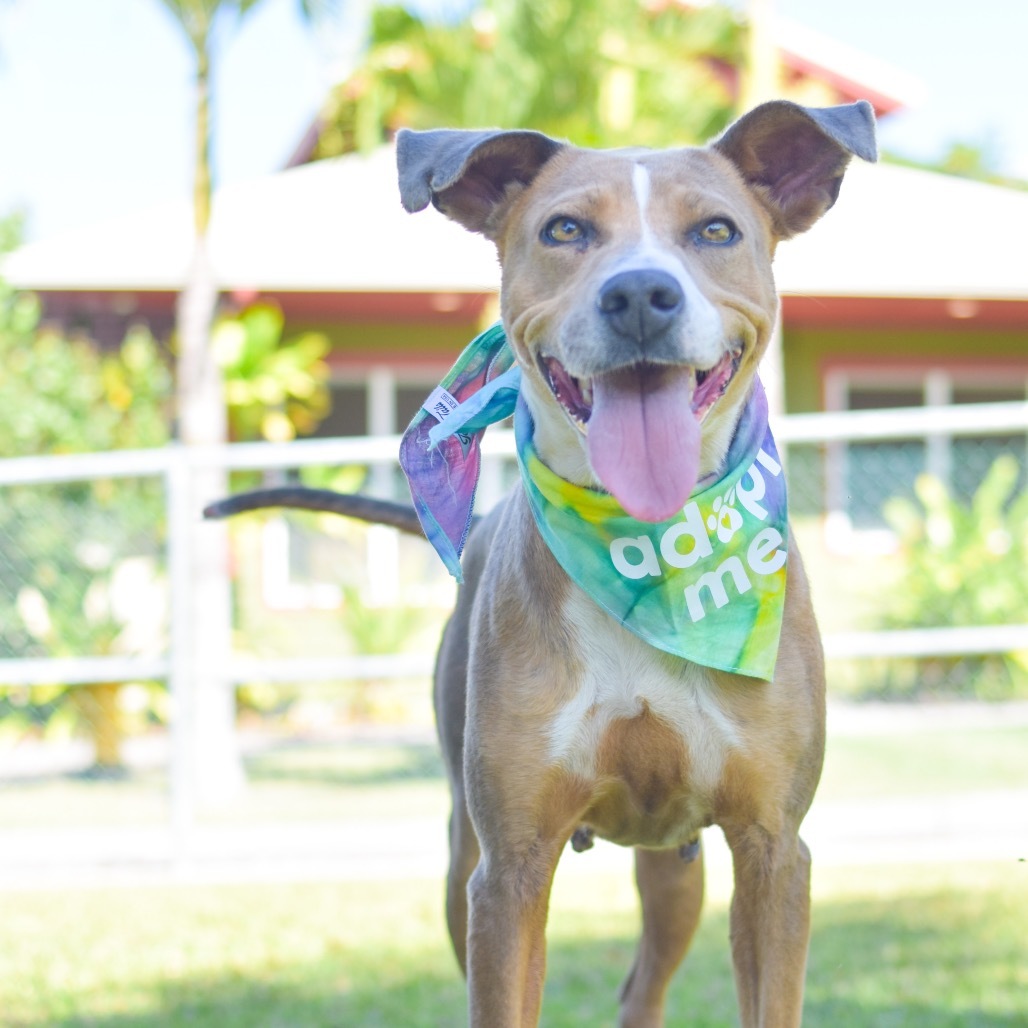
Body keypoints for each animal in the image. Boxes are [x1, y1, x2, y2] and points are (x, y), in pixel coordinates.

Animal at [208, 98, 875, 1028]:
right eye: (566, 229)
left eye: (715, 230)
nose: (640, 294)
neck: (646, 549)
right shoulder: (511, 866)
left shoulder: (774, 849)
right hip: (465, 858)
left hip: (678, 865)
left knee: (642, 987)